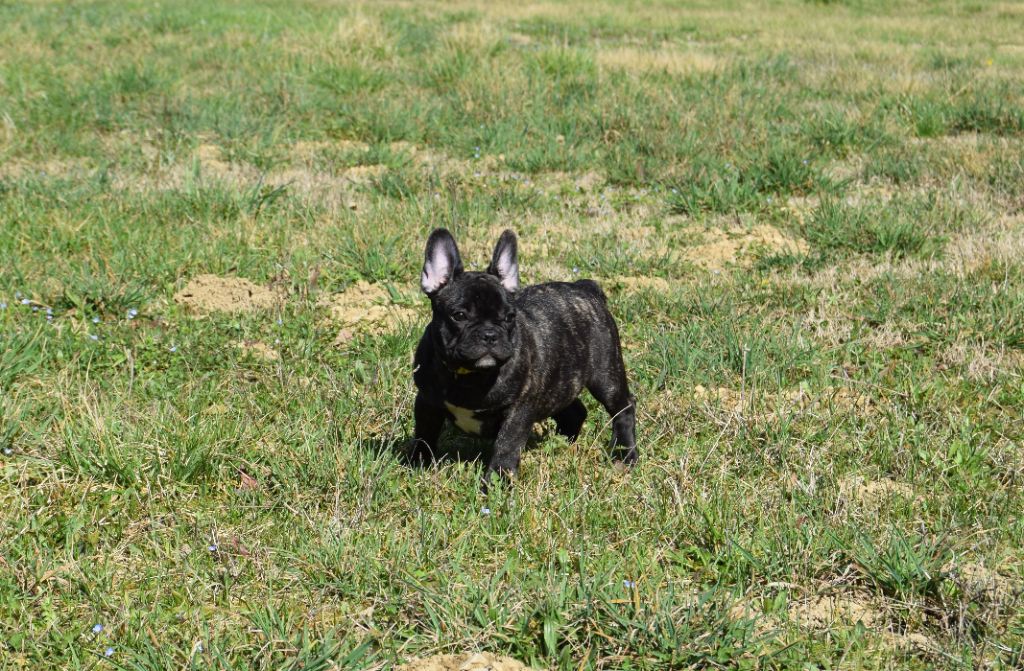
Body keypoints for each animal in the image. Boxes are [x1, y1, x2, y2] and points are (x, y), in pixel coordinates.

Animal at [405, 228, 630, 485]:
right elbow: (424, 435)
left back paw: (625, 456)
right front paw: (417, 464)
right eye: (459, 315)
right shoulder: (427, 402)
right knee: (574, 411)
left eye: (509, 317)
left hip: (606, 376)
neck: (469, 374)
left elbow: (506, 446)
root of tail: (585, 288)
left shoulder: (517, 412)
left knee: (623, 408)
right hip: (559, 379)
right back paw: (562, 444)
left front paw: (496, 483)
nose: (490, 334)